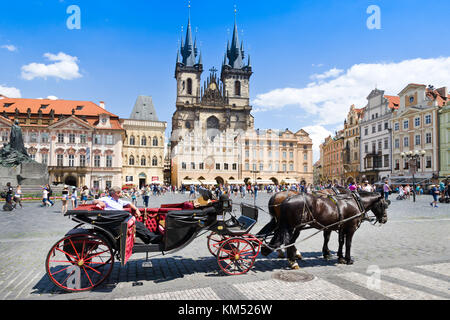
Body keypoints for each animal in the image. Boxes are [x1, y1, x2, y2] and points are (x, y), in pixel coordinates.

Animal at [258, 190, 388, 268]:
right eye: (384, 205)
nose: (385, 220)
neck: (354, 202)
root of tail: (286, 199)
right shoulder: (350, 228)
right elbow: (348, 243)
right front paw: (347, 259)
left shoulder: (340, 227)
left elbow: (340, 241)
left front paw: (339, 257)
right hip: (295, 227)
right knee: (289, 241)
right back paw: (292, 260)